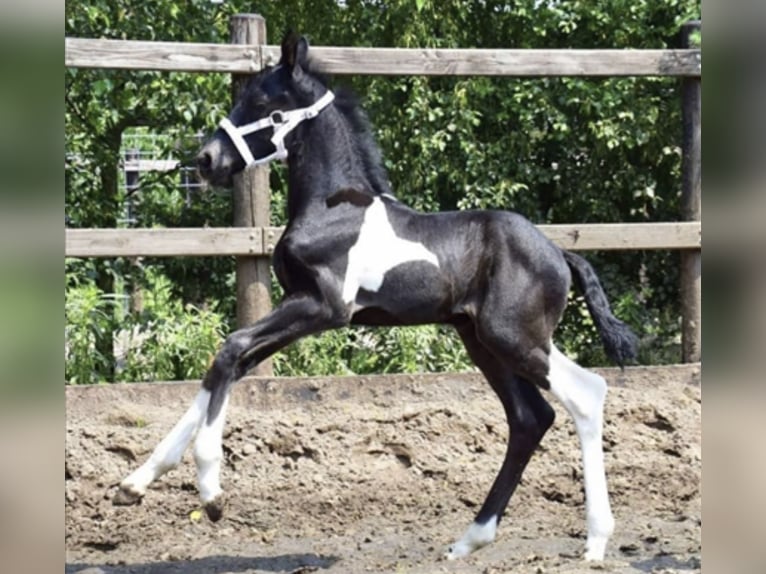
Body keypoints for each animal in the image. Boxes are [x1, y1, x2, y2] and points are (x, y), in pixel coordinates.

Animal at [115, 32, 640, 564]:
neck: (332, 208)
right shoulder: (298, 305)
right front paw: (134, 483)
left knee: (586, 393)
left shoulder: (323, 307)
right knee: (531, 417)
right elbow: (231, 362)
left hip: (513, 336)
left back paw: (595, 541)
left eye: (263, 104)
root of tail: (559, 252)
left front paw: (211, 491)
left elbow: (231, 349)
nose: (207, 161)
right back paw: (469, 539)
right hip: (482, 340)